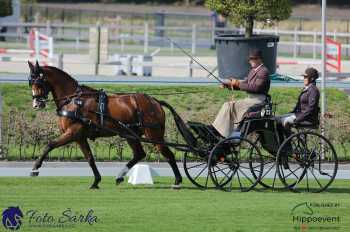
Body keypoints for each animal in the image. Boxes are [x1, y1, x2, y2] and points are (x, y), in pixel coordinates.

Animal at [27, 60, 183, 189]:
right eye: (30, 82)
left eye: (39, 82)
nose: (36, 104)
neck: (74, 101)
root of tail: (155, 101)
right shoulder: (79, 137)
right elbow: (90, 158)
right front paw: (96, 181)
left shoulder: (72, 132)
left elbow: (50, 144)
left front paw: (35, 167)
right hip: (130, 134)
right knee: (139, 153)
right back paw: (120, 176)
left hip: (153, 135)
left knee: (168, 154)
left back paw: (177, 181)